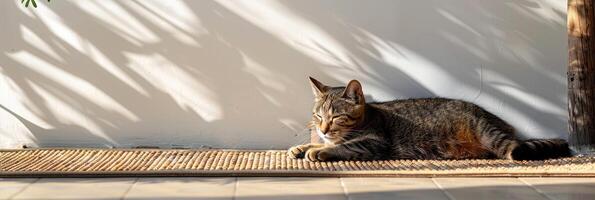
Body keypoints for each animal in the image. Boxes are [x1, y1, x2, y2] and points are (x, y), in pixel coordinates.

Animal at [290, 77, 572, 162]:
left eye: (337, 116)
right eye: (318, 115)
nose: (322, 128)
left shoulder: (375, 143)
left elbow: (344, 146)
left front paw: (319, 151)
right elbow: (324, 143)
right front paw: (302, 146)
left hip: (487, 131)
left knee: (511, 148)